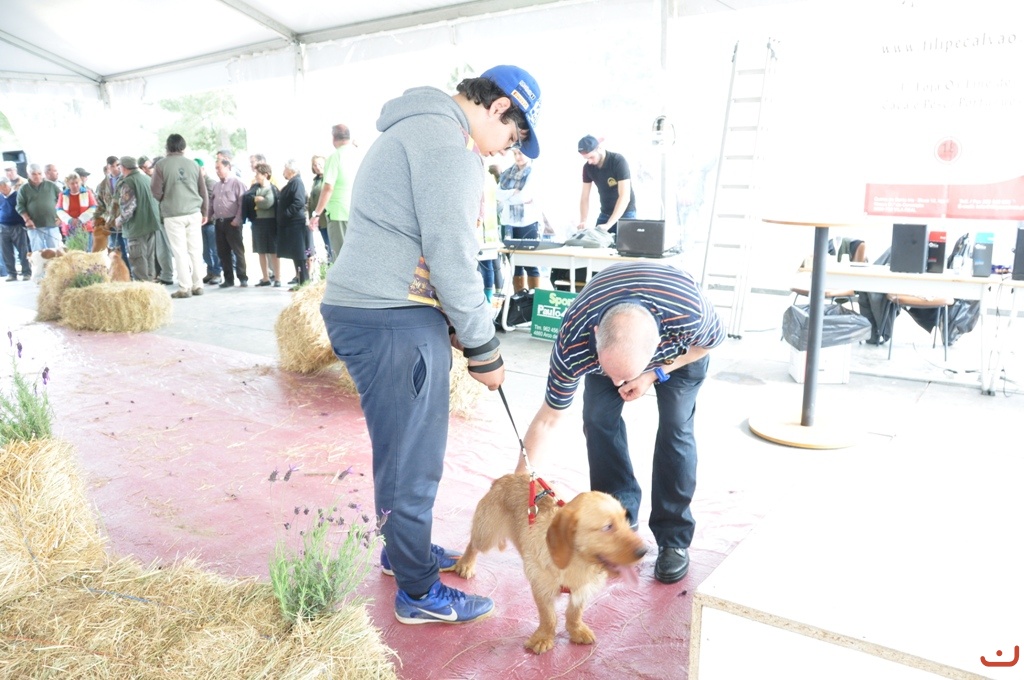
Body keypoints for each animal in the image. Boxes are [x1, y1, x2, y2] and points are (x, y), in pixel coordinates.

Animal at [454, 473, 647, 654]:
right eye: (608, 527)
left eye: (625, 520)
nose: (644, 551)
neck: (575, 561)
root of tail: (507, 477)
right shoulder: (541, 587)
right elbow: (549, 617)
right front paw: (543, 638)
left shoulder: (583, 588)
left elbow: (575, 612)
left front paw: (576, 629)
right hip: (486, 536)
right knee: (473, 544)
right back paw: (466, 563)